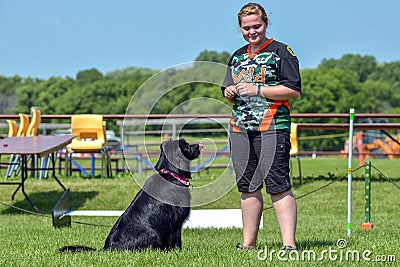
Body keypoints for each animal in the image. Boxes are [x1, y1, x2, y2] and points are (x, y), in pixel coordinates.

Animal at [58, 140, 203, 253]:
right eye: (186, 145)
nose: (201, 145)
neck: (171, 173)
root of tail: (107, 248)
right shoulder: (176, 222)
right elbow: (176, 240)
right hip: (152, 234)